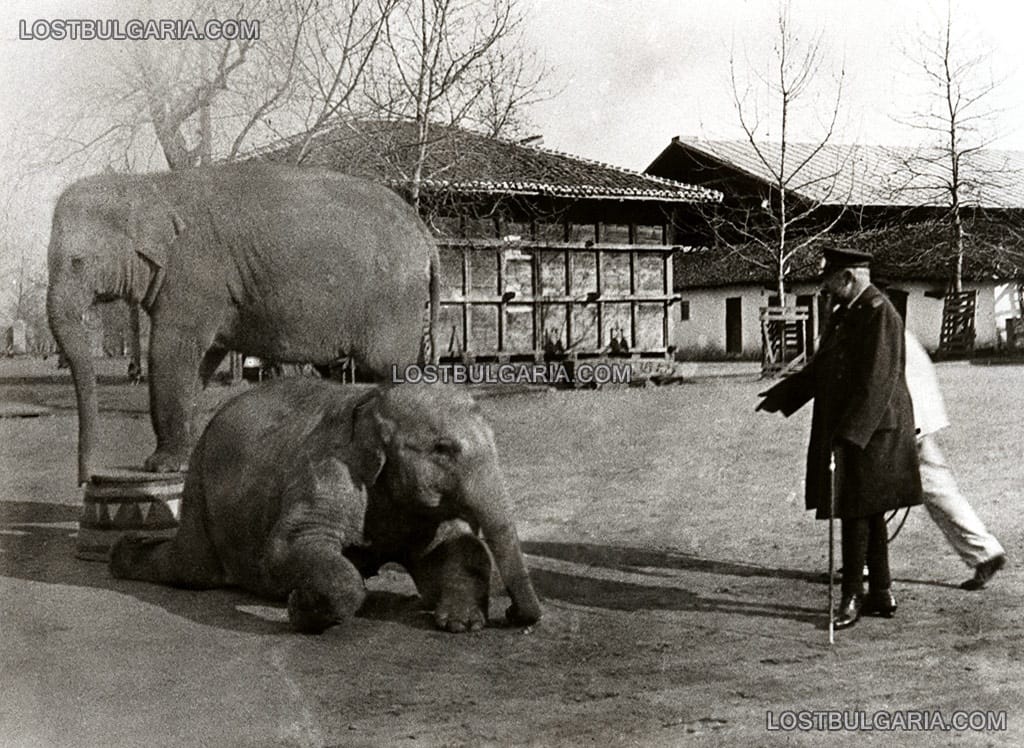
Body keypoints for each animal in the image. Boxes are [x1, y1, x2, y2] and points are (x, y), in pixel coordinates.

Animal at [46, 161, 438, 483]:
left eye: (77, 262)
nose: (85, 478)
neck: (146, 183)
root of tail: (423, 230)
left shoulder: (194, 273)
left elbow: (171, 351)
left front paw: (159, 466)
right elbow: (201, 361)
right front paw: (182, 458)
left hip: (394, 300)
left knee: (387, 366)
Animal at [110, 381, 544, 631]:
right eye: (442, 449)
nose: (512, 615)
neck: (374, 399)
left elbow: (458, 547)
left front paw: (462, 624)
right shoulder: (328, 469)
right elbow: (288, 547)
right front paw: (300, 605)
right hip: (200, 491)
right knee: (190, 568)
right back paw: (121, 555)